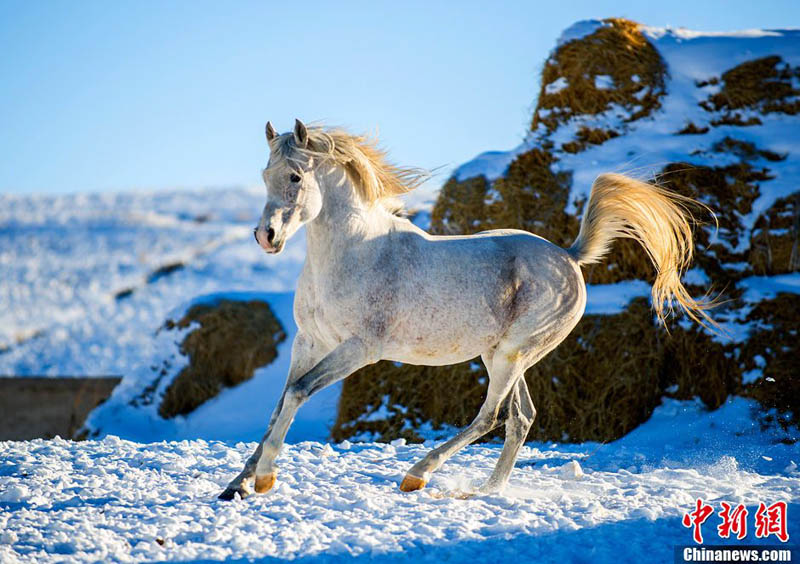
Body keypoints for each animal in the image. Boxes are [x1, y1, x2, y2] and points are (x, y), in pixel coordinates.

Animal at [217, 118, 712, 498]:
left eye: (296, 177)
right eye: (264, 174)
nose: (266, 237)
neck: (356, 253)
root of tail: (569, 257)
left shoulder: (360, 350)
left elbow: (297, 393)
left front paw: (264, 480)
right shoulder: (310, 341)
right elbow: (280, 403)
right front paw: (236, 486)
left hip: (512, 353)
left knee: (491, 416)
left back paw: (417, 476)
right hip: (502, 355)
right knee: (521, 417)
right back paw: (488, 489)